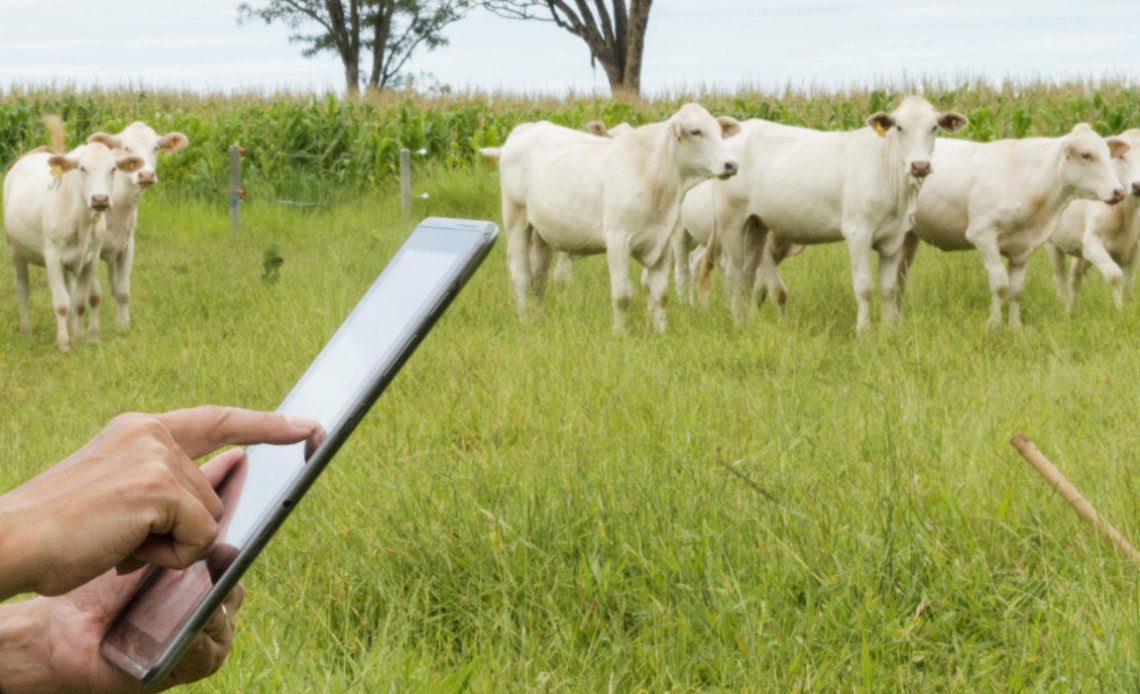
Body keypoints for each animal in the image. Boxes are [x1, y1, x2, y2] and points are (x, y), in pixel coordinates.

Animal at [902, 122, 1126, 328]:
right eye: (1086, 155)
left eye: (1109, 154)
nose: (1119, 192)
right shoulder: (982, 234)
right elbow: (1000, 284)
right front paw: (993, 325)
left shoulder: (1023, 248)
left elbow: (1016, 290)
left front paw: (1015, 327)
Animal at [1044, 129, 1140, 312]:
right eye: (1122, 157)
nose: (1137, 185)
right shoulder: (1091, 244)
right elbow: (1115, 275)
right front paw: (1120, 311)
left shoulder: (1135, 248)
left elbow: (1129, 282)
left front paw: (1129, 304)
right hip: (1052, 244)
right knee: (1060, 277)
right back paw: (1065, 309)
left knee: (1075, 277)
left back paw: (1072, 310)